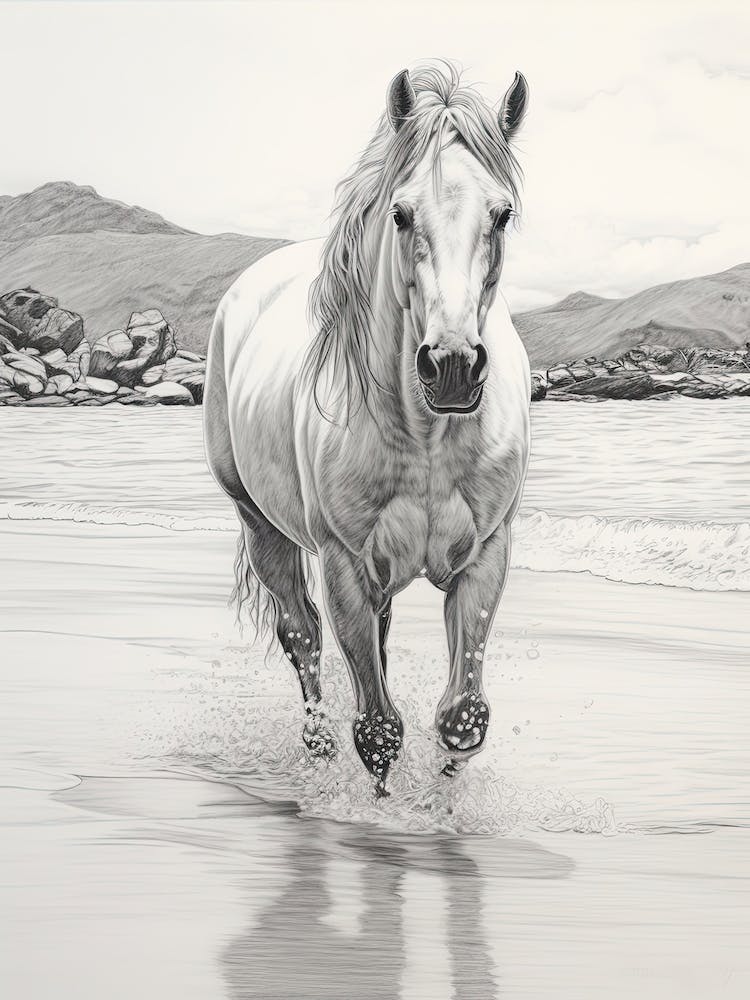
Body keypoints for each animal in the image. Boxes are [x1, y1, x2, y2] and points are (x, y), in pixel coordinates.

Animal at [204, 61, 531, 796]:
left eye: (501, 214)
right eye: (401, 213)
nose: (452, 366)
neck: (428, 438)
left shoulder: (485, 558)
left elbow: (461, 718)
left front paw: (438, 807)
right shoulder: (344, 564)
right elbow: (378, 731)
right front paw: (376, 809)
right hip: (262, 526)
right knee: (302, 637)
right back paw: (317, 750)